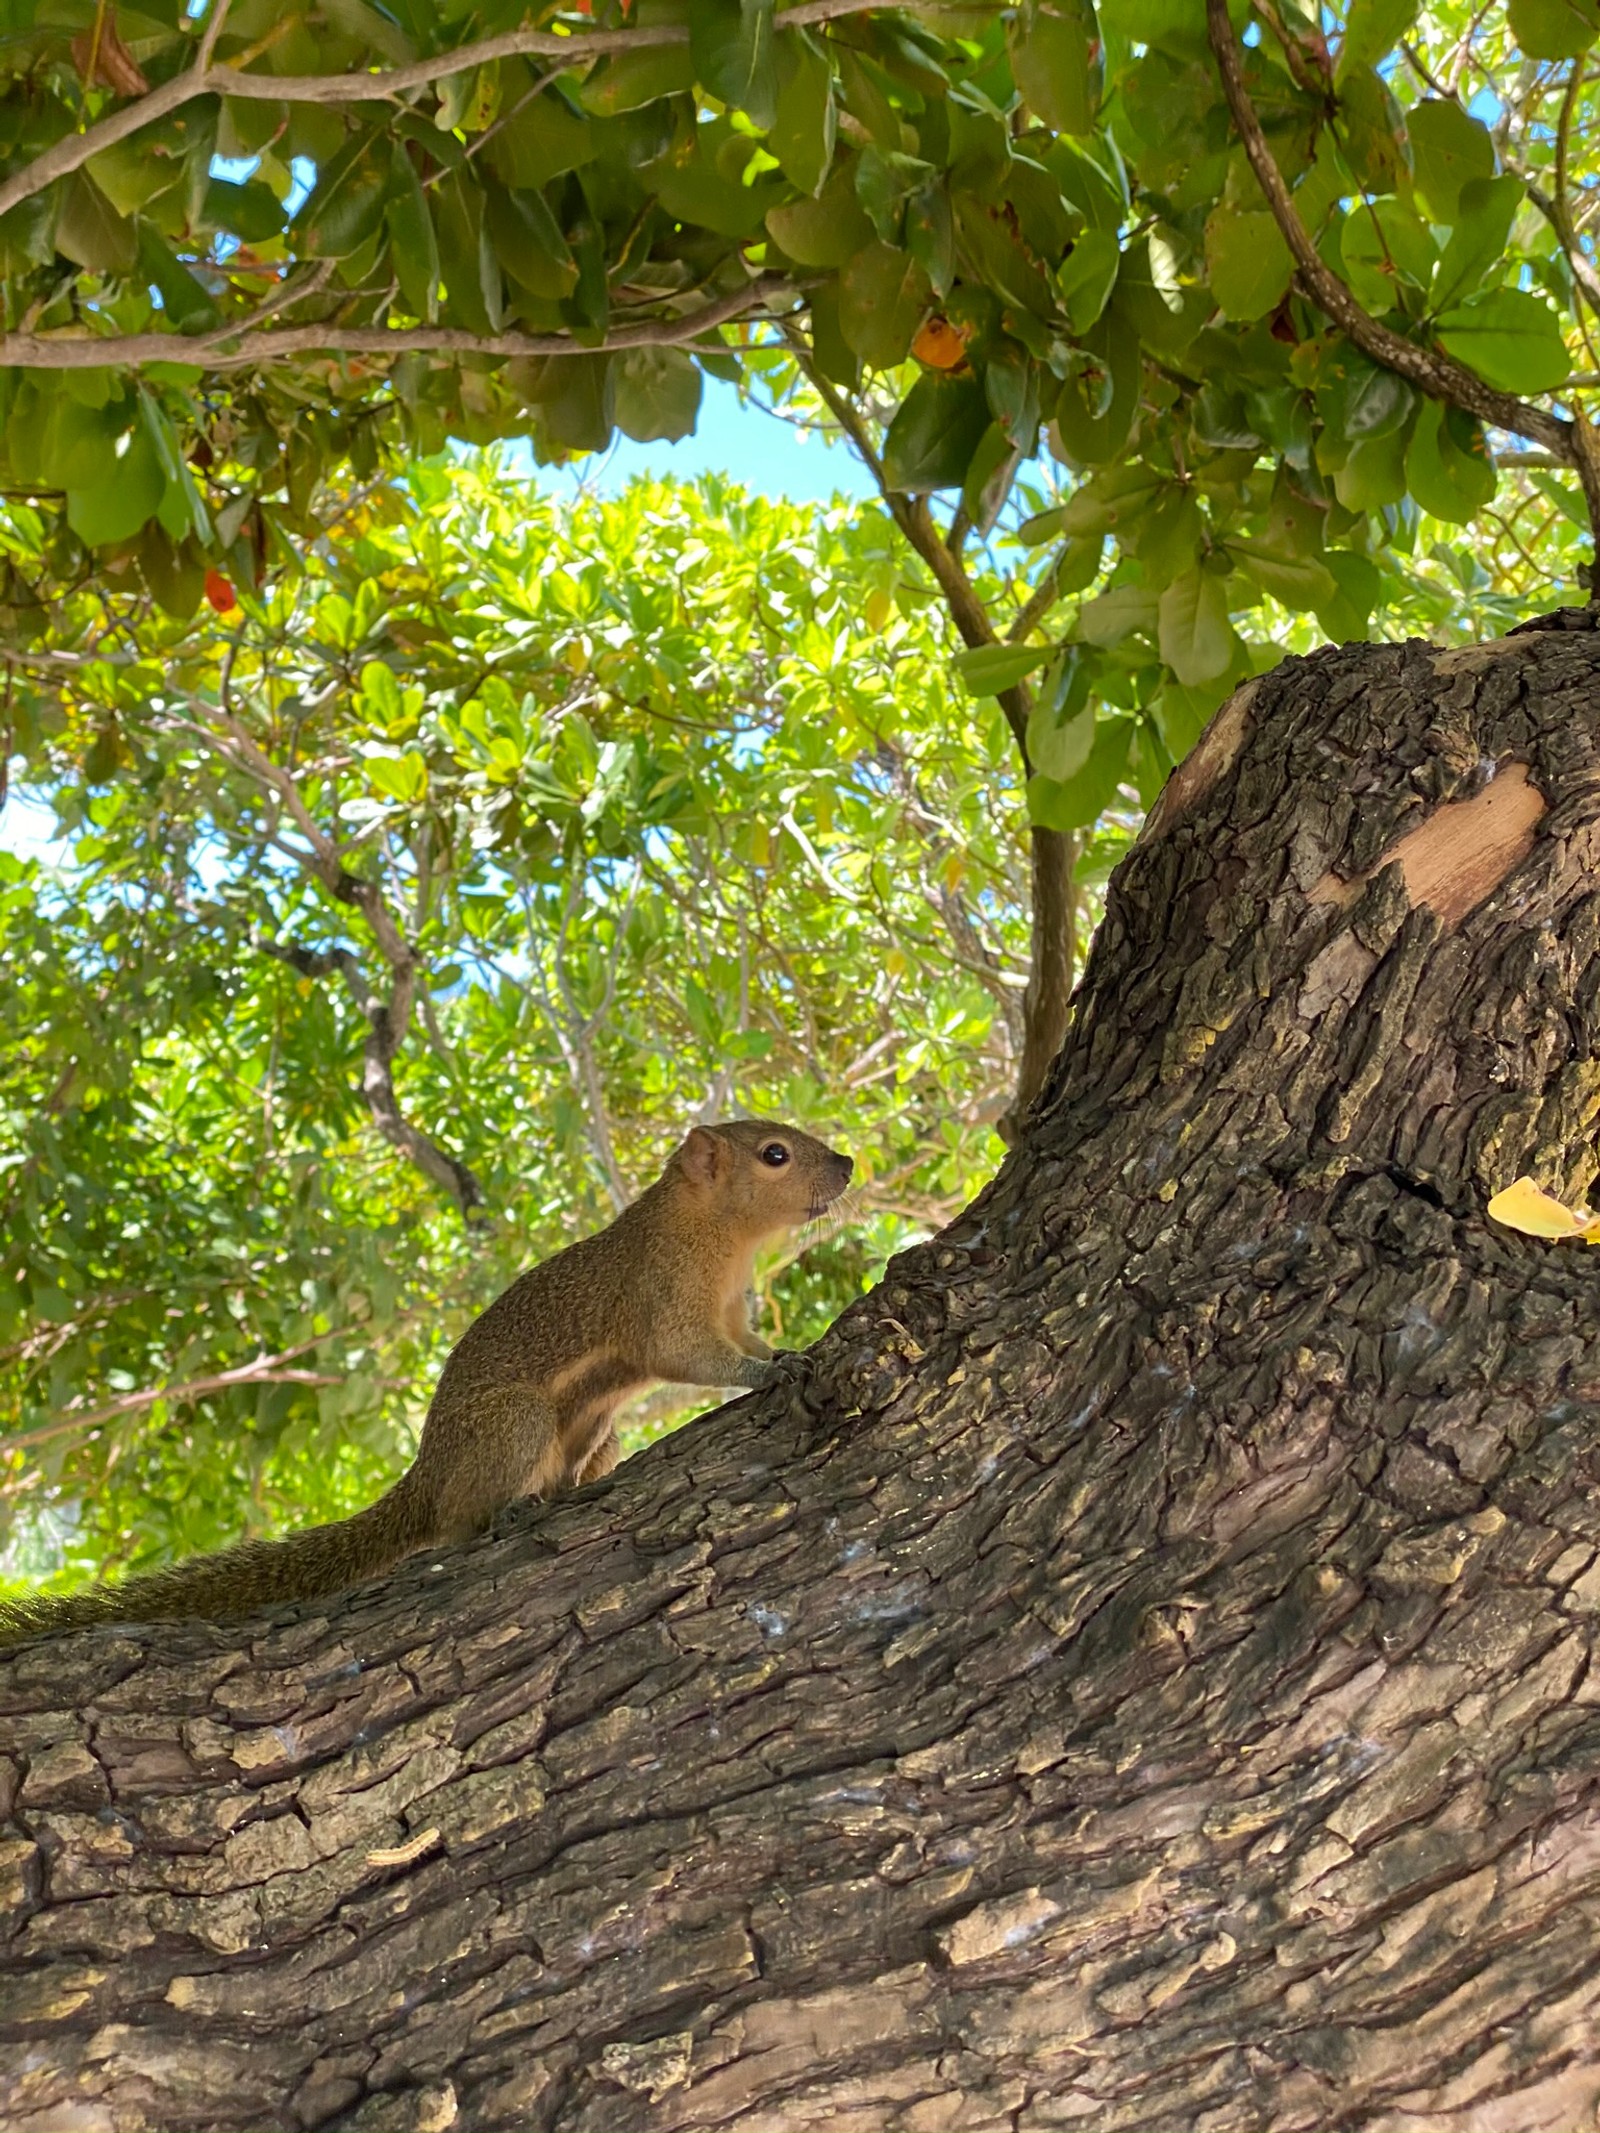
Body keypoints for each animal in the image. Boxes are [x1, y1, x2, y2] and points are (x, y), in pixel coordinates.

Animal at [0, 1126, 853, 1638]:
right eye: (774, 1153)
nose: (846, 1165)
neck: (720, 1240)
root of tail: (426, 1477)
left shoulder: (731, 1308)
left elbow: (741, 1340)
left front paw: (785, 1347)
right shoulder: (661, 1299)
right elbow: (696, 1358)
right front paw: (772, 1370)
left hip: (600, 1431)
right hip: (515, 1420)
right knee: (460, 1520)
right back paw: (508, 1508)